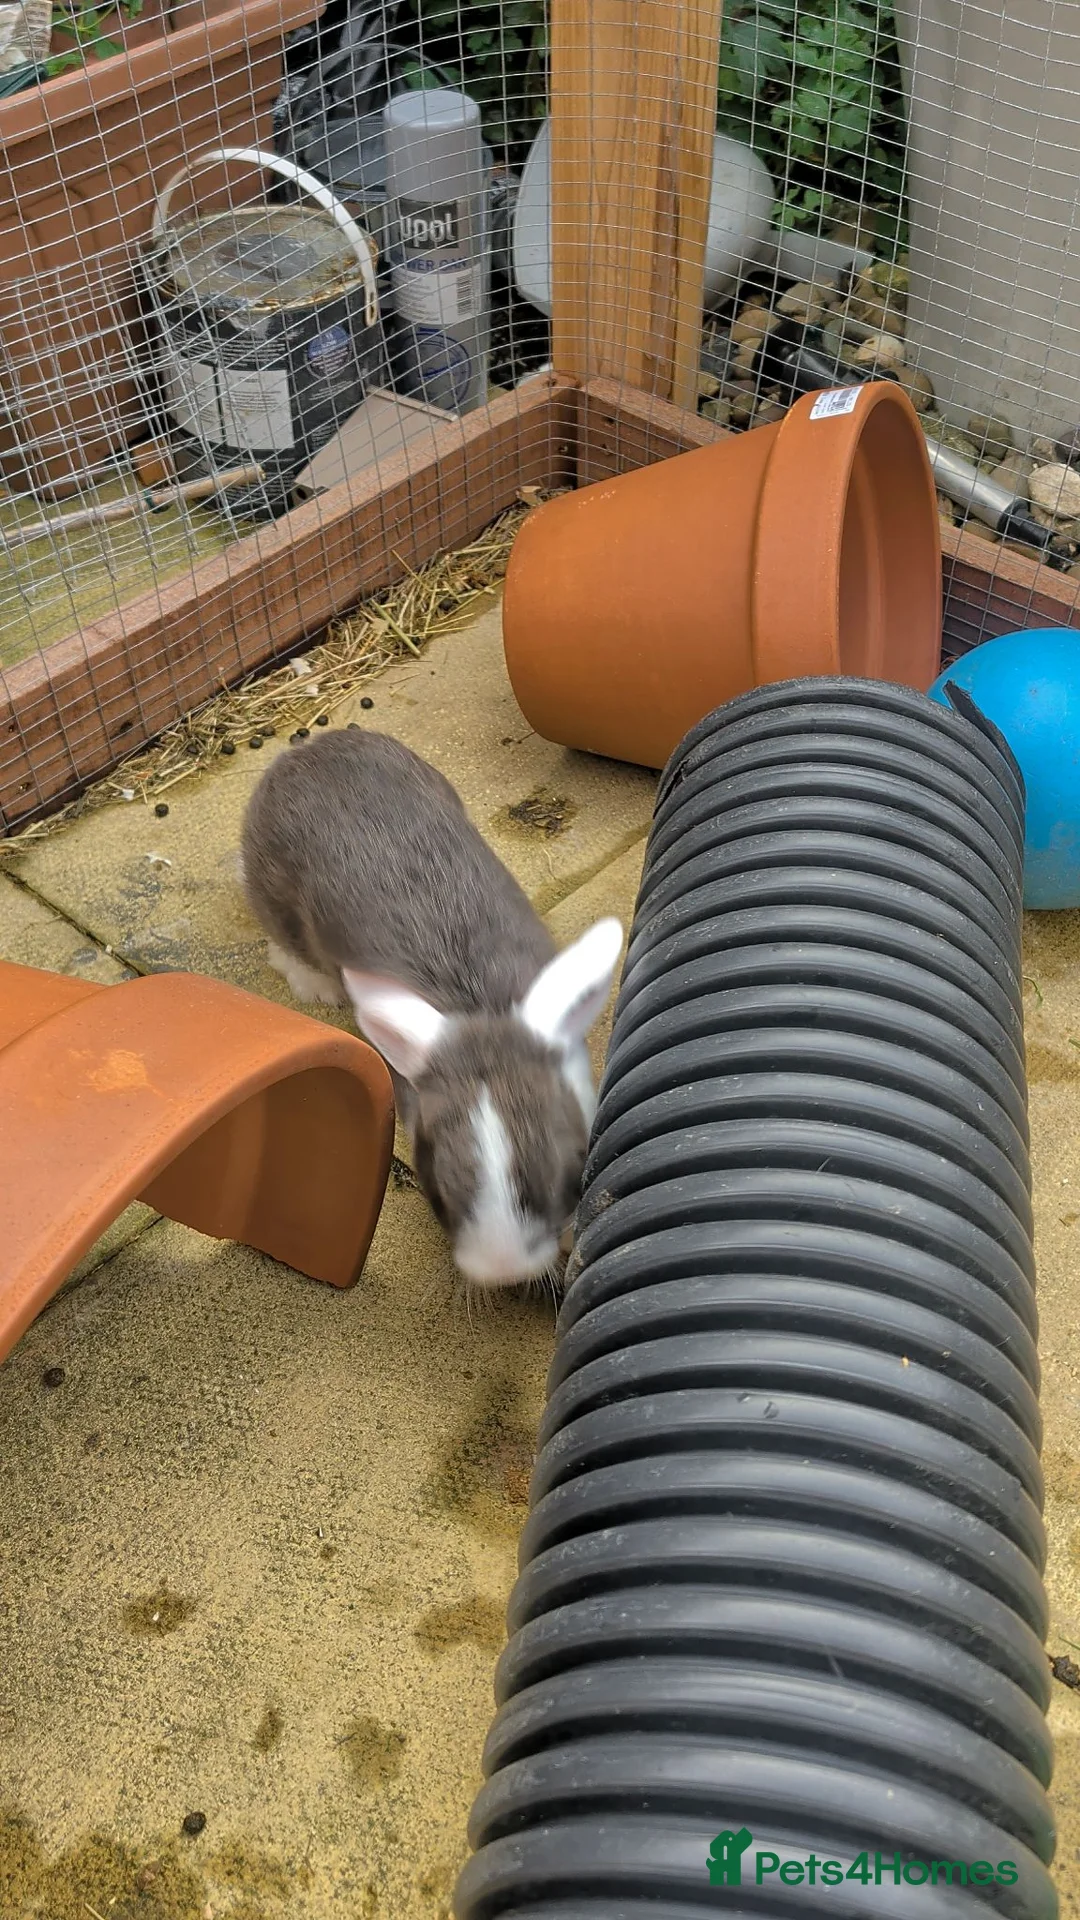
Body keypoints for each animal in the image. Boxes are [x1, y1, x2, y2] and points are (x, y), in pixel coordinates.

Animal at [240, 727, 623, 1287]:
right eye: (436, 1190)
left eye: (567, 1173)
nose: (502, 1270)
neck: (477, 1008)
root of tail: (303, 752)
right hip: (274, 897)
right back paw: (320, 986)